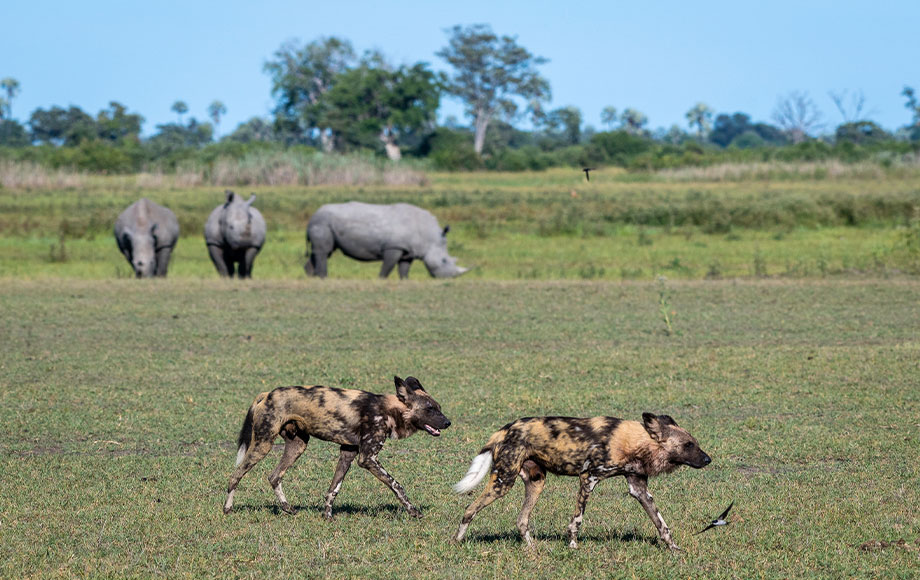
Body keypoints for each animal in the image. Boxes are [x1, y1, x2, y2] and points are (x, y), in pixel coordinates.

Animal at [224, 378, 452, 520]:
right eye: (430, 409)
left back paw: (288, 508)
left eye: (439, 407)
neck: (389, 411)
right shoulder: (367, 458)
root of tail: (267, 394)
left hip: (298, 445)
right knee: (235, 475)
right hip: (263, 444)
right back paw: (227, 509)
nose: (448, 422)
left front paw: (327, 516)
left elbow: (333, 489)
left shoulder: (348, 453)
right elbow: (397, 486)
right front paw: (414, 512)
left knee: (274, 476)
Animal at [306, 202, 470, 278]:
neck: (429, 237)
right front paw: (381, 279)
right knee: (323, 252)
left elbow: (404, 268)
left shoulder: (407, 250)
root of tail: (312, 217)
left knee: (321, 252)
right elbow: (388, 267)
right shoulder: (394, 246)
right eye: (444, 261)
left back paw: (311, 277)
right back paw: (323, 278)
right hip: (322, 223)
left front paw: (405, 281)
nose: (450, 278)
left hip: (323, 223)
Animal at [452, 412, 712, 548]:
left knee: (521, 520)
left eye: (695, 443)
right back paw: (456, 541)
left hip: (536, 482)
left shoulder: (639, 488)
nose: (708, 459)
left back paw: (532, 548)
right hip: (503, 483)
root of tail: (505, 429)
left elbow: (661, 523)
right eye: (688, 445)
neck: (636, 443)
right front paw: (573, 546)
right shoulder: (589, 478)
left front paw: (673, 548)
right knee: (469, 509)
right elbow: (576, 521)